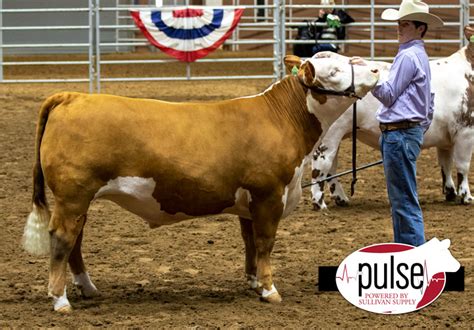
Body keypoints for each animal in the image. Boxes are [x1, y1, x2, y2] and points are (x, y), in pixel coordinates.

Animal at [22, 55, 380, 310]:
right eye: (334, 70)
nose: (377, 69)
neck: (280, 118)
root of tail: (72, 96)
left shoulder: (248, 202)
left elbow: (250, 243)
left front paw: (253, 282)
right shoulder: (268, 194)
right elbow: (265, 242)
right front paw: (270, 290)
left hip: (79, 199)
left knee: (76, 241)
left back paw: (88, 288)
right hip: (73, 196)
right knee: (63, 239)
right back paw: (60, 300)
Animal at [312, 32, 474, 210]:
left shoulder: (447, 138)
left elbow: (446, 165)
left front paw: (450, 192)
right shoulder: (466, 131)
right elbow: (463, 165)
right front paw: (466, 196)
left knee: (331, 167)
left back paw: (341, 198)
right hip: (330, 135)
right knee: (321, 164)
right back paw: (319, 203)